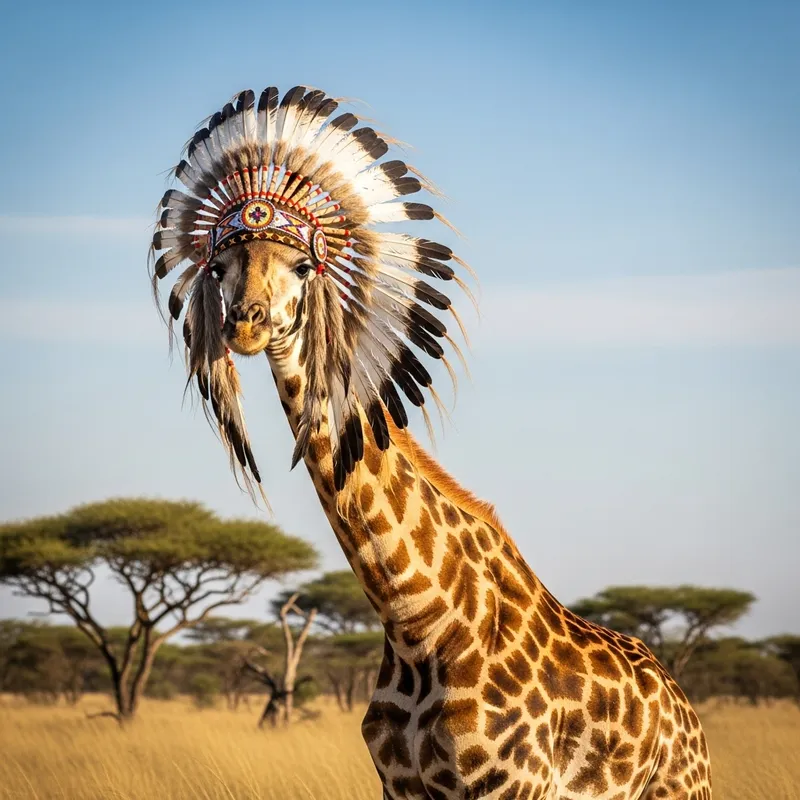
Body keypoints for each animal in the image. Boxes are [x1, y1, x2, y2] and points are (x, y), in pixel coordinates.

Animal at [151, 86, 712, 799]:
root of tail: (683, 706)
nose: (244, 325)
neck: (418, 623)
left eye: (302, 263)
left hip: (681, 789)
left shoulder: (510, 786)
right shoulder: (399, 784)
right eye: (221, 264)